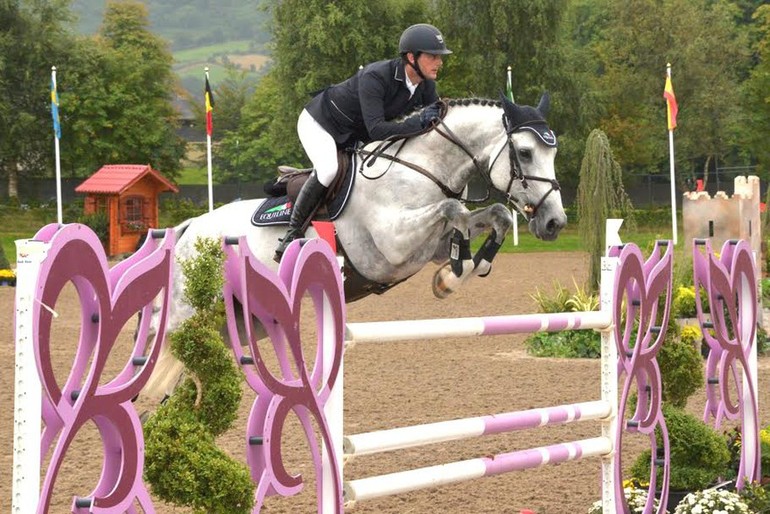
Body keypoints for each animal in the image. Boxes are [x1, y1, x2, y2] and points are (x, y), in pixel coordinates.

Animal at [142, 92, 564, 396]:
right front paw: (455, 271)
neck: (423, 169)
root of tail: (189, 228)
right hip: (188, 314)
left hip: (243, 325)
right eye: (525, 152)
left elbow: (494, 215)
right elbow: (453, 209)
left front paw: (458, 273)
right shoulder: (392, 246)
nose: (554, 222)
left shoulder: (428, 247)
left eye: (553, 151)